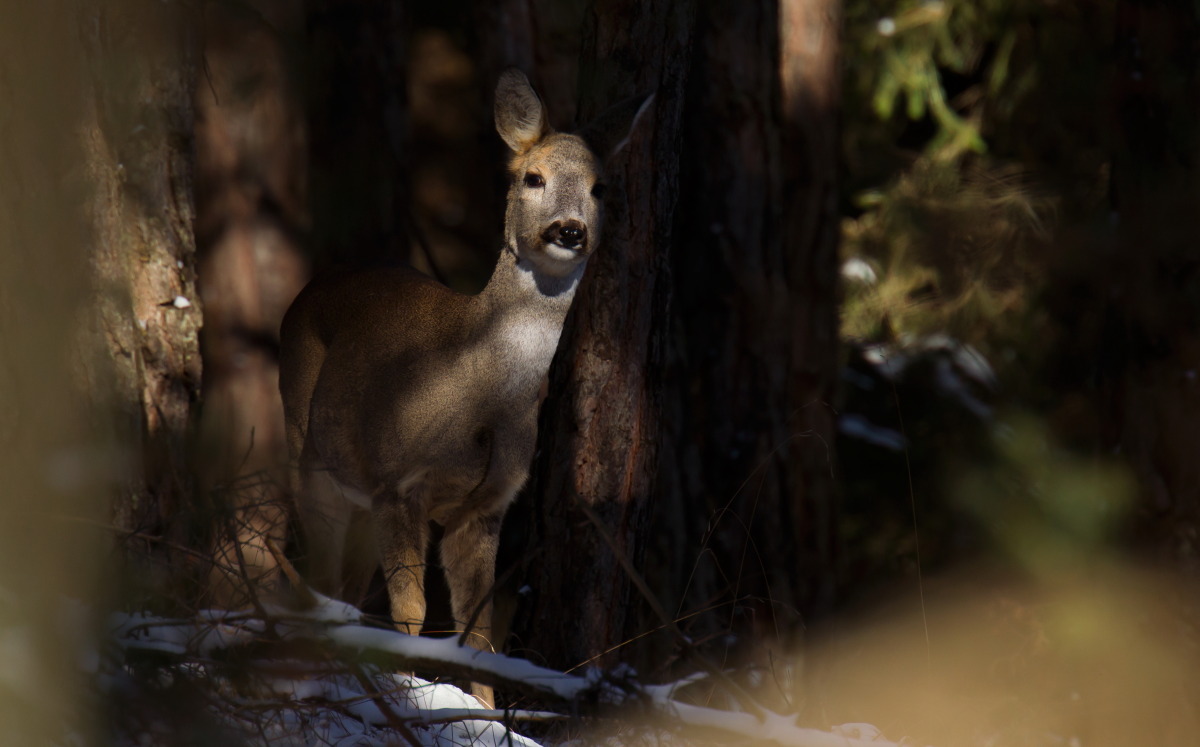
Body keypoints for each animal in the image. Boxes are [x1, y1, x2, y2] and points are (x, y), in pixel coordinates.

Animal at [277, 70, 652, 706]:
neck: (483, 398)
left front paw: (482, 710)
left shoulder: (485, 505)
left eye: (600, 188)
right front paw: (413, 692)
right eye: (533, 177)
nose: (569, 230)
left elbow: (478, 635)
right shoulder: (398, 482)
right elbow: (411, 612)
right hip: (310, 456)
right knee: (320, 577)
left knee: (345, 588)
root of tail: (314, 284)